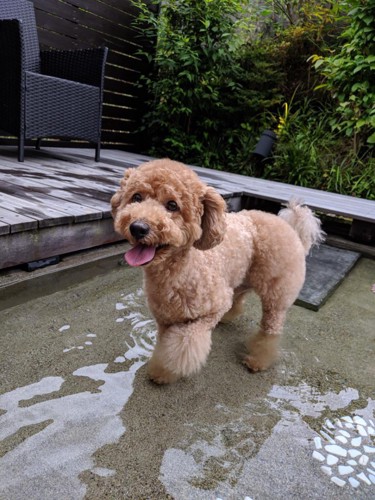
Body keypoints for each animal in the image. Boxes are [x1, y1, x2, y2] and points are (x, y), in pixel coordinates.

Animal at [111, 158, 324, 384]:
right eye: (136, 197)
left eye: (172, 205)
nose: (138, 227)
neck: (182, 271)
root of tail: (292, 228)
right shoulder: (165, 320)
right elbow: (164, 345)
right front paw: (159, 369)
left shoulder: (209, 312)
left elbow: (182, 345)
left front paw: (164, 371)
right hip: (240, 278)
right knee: (238, 300)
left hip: (276, 293)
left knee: (271, 328)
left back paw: (258, 360)